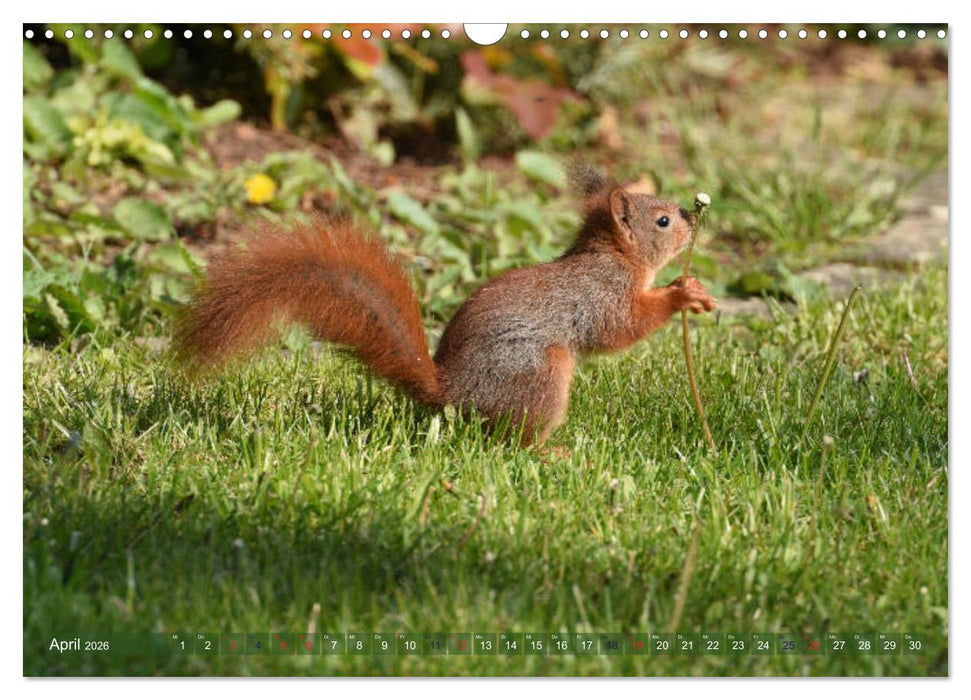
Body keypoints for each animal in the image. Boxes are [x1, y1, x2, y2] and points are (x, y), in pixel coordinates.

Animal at [172, 164, 717, 445]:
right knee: (516, 442)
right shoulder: (601, 296)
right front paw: (680, 294)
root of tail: (452, 392)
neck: (613, 257)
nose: (691, 216)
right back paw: (554, 453)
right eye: (663, 221)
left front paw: (696, 287)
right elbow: (622, 327)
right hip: (540, 371)